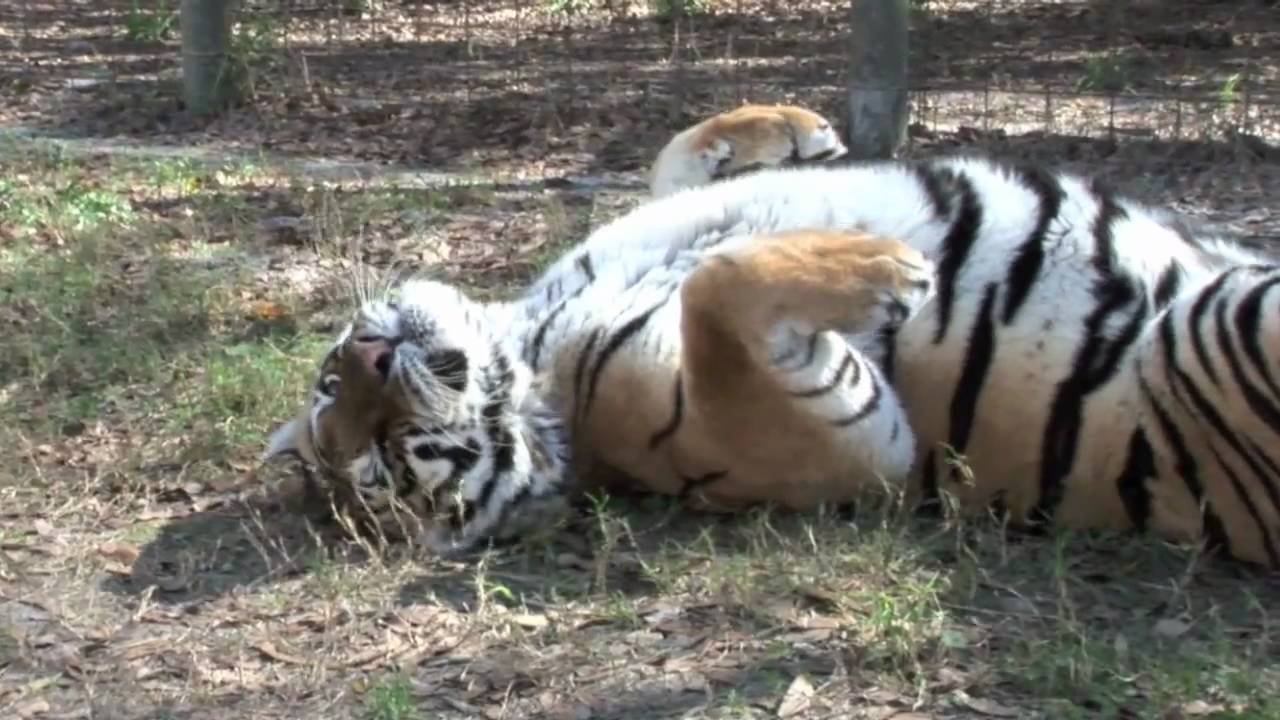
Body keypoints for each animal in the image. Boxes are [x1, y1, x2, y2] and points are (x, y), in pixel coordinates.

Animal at [265, 153, 1280, 569]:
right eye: (389, 463)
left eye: (332, 382)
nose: (373, 349)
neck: (538, 335)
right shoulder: (848, 450)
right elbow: (715, 289)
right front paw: (887, 269)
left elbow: (698, 180)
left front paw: (788, 139)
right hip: (1228, 322)